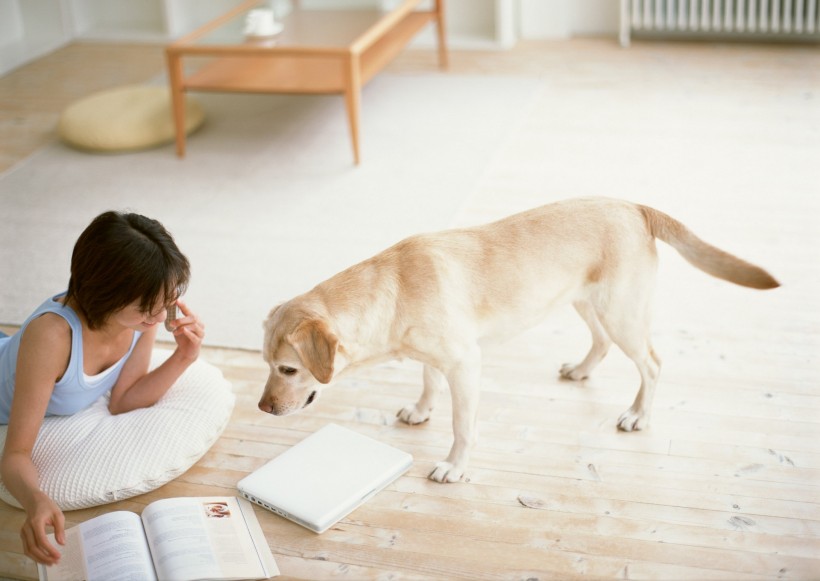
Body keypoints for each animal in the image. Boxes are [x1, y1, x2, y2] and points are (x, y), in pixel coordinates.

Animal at [260, 197, 780, 482]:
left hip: (622, 314)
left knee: (651, 364)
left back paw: (637, 415)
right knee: (600, 343)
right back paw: (581, 369)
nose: (263, 409)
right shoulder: (433, 356)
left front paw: (454, 467)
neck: (394, 288)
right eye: (266, 364)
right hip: (583, 301)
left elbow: (463, 427)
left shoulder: (465, 365)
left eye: (288, 369)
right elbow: (427, 382)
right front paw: (422, 409)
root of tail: (636, 207)